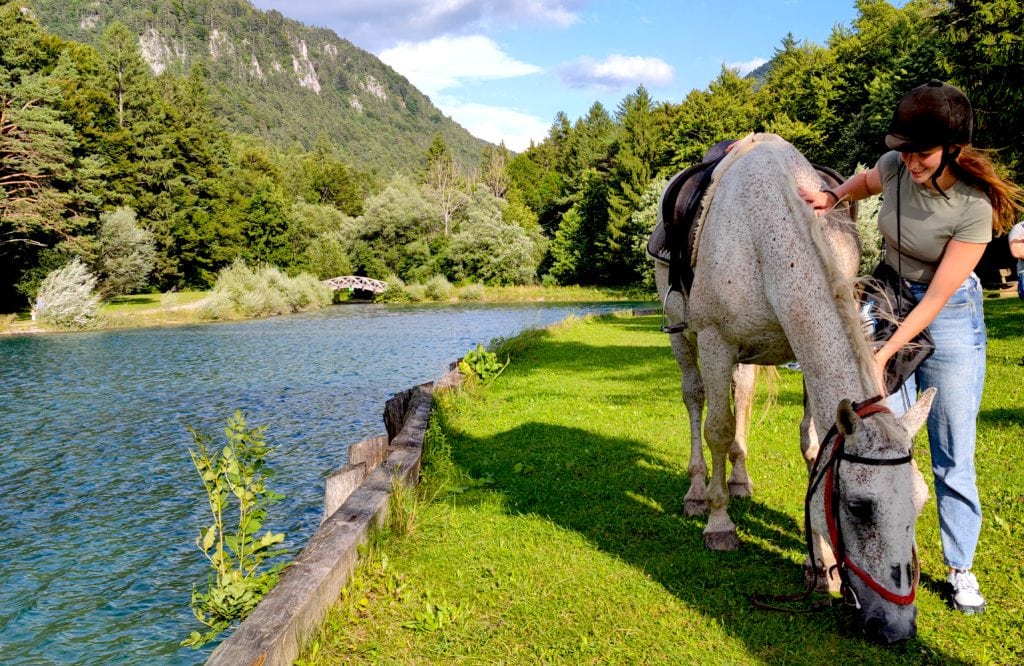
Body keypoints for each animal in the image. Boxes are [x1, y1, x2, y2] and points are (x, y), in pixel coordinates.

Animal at [652, 134, 935, 643]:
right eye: (860, 507)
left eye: (921, 501)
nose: (898, 628)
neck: (764, 233)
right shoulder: (715, 341)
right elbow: (718, 429)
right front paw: (719, 524)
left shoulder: (796, 349)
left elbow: (812, 445)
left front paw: (819, 565)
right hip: (681, 335)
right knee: (695, 399)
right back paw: (699, 491)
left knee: (742, 395)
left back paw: (740, 480)